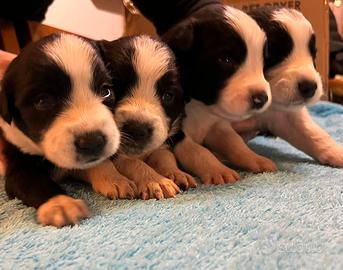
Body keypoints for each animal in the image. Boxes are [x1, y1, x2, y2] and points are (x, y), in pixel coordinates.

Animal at [0, 33, 123, 228]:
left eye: (106, 91)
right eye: (43, 101)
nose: (92, 142)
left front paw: (113, 178)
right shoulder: (17, 163)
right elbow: (33, 182)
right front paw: (60, 204)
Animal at [85, 35, 196, 199]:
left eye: (168, 96)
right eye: (116, 89)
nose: (137, 129)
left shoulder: (161, 143)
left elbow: (165, 156)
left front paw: (176, 173)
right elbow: (132, 163)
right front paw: (154, 180)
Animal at [130, 0, 276, 184]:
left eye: (262, 61)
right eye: (226, 60)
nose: (262, 99)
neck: (200, 104)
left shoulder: (217, 124)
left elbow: (235, 143)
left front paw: (255, 159)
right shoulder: (175, 131)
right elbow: (198, 151)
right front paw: (218, 169)